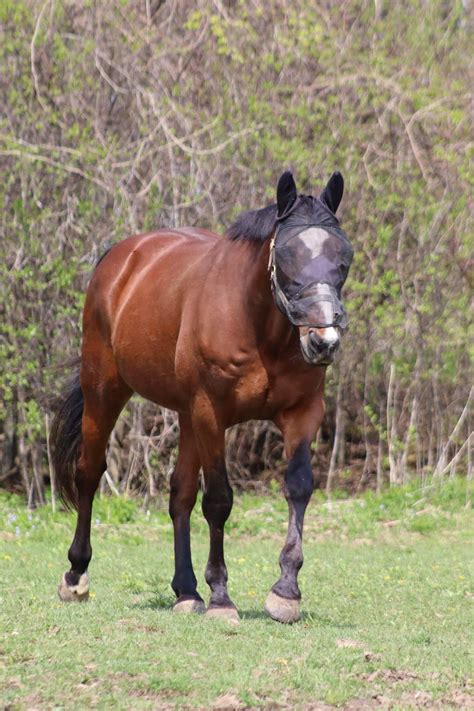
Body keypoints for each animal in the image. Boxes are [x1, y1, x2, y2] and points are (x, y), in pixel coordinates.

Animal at [50, 170, 354, 624]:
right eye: (285, 256)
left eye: (343, 257)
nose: (324, 341)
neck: (259, 326)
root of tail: (121, 259)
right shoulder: (212, 413)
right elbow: (219, 500)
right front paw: (222, 597)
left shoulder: (302, 413)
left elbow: (298, 487)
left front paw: (285, 591)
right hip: (105, 390)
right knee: (89, 473)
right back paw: (76, 576)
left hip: (186, 413)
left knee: (179, 495)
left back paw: (186, 590)